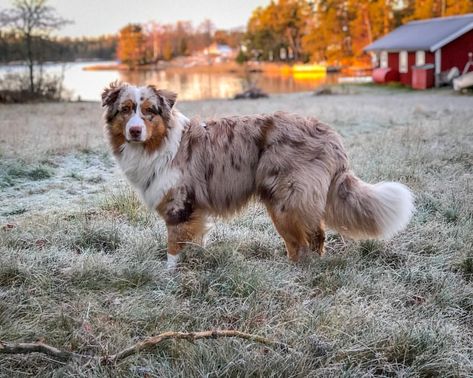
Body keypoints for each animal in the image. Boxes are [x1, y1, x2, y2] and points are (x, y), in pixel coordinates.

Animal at [100, 81, 412, 270]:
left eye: (149, 111)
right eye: (125, 110)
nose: (135, 131)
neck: (160, 144)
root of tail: (329, 133)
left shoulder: (180, 206)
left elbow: (174, 249)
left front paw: (170, 277)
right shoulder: (195, 212)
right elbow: (194, 243)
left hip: (288, 201)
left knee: (310, 238)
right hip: (283, 204)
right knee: (303, 240)